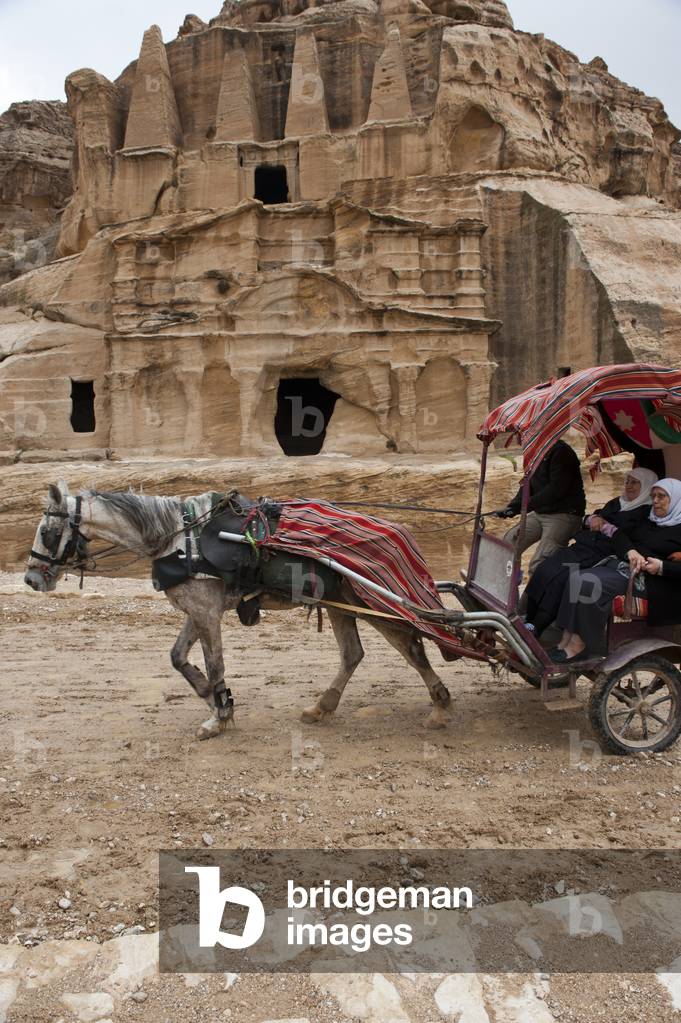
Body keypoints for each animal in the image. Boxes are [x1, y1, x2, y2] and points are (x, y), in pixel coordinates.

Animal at [24, 481, 453, 739]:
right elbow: (178, 658)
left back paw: (440, 706)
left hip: (371, 601)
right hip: (343, 603)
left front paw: (218, 714)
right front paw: (212, 698)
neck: (180, 539)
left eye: (47, 531)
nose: (30, 578)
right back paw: (321, 707)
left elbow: (215, 665)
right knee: (353, 654)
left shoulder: (207, 613)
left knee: (412, 648)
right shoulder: (197, 610)